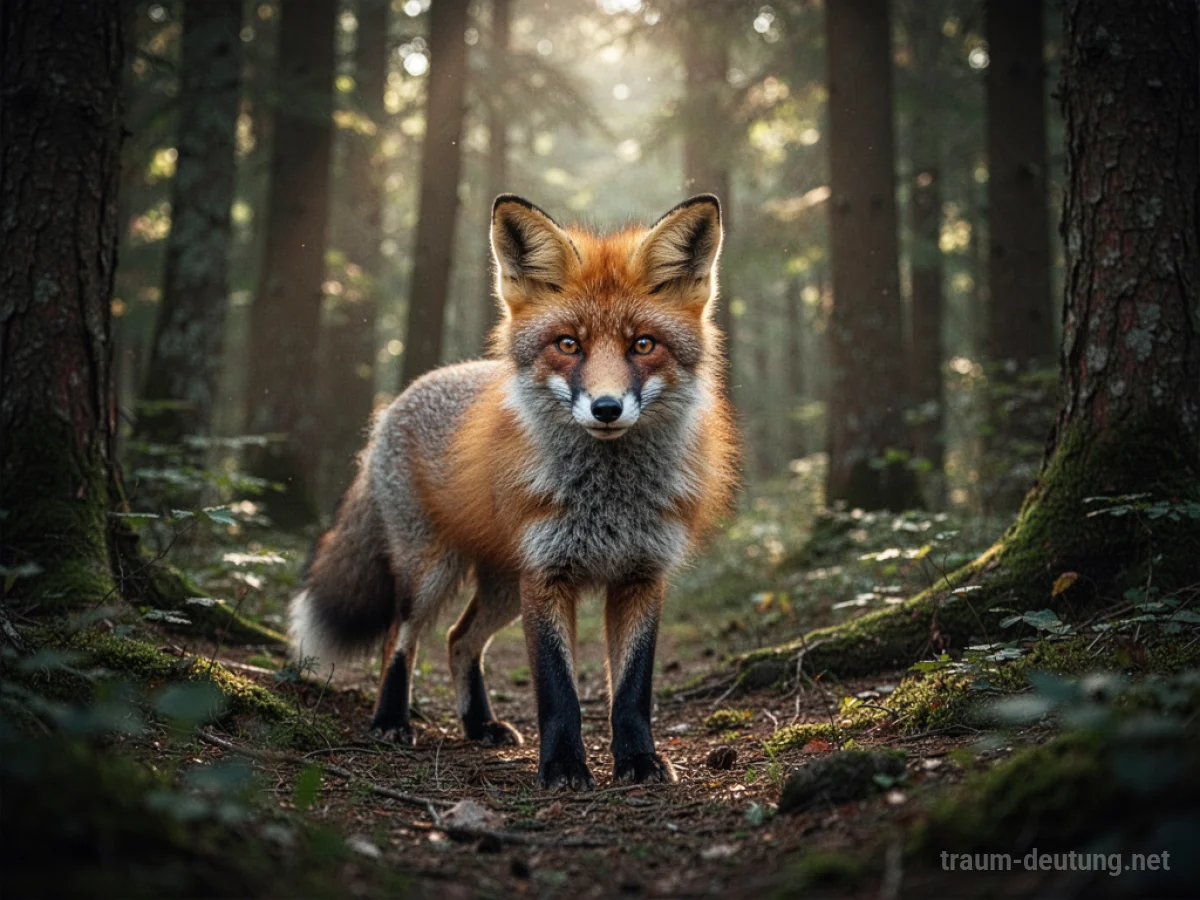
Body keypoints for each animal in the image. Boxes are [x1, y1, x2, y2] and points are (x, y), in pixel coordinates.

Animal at [289, 193, 737, 789]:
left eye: (643, 345)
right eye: (568, 344)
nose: (607, 408)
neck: (608, 501)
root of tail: (403, 397)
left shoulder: (641, 576)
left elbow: (632, 691)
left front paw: (638, 760)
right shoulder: (546, 576)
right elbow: (558, 691)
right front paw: (564, 766)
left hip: (503, 585)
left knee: (459, 639)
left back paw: (480, 725)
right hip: (431, 572)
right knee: (399, 636)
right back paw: (390, 720)